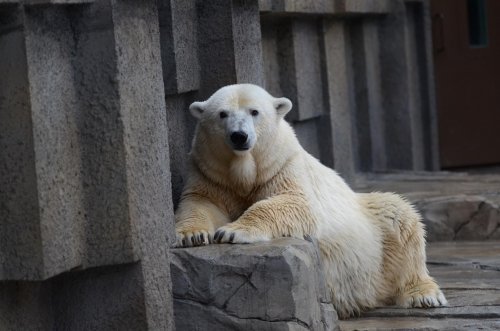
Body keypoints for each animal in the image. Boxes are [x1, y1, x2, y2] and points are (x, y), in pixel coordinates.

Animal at [174, 83, 448, 320]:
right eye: (222, 114)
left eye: (254, 112)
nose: (239, 136)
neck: (245, 172)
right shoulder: (211, 174)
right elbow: (200, 203)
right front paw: (191, 236)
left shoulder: (283, 166)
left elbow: (296, 204)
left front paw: (232, 231)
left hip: (373, 225)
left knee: (399, 216)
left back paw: (424, 295)